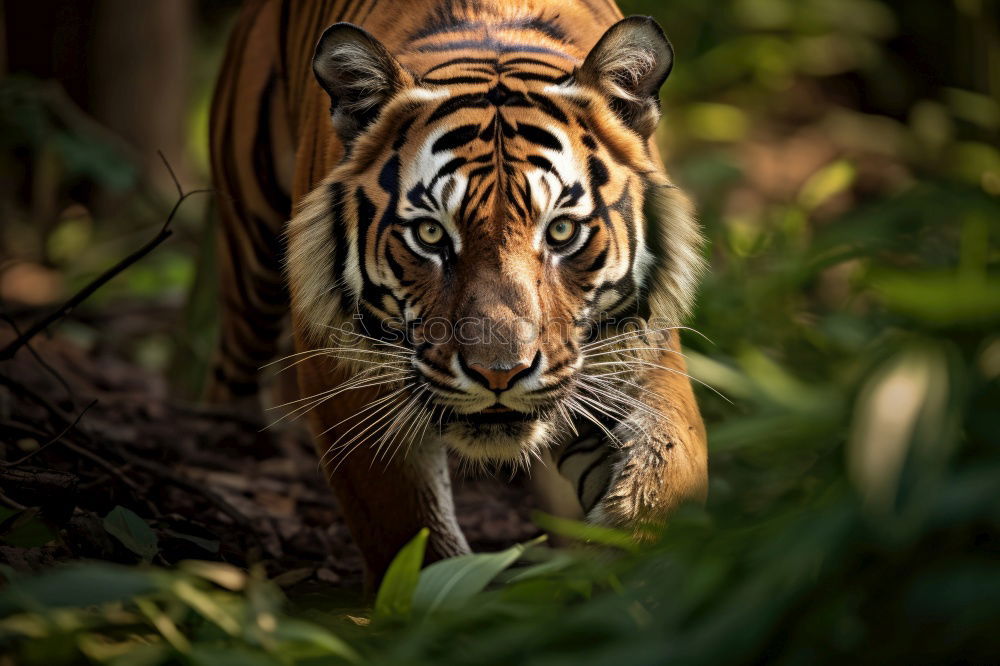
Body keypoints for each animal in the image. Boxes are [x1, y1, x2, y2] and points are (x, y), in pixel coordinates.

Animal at [209, 0, 712, 584]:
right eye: (430, 234)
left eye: (561, 231)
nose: (500, 374)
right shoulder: (344, 374)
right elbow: (411, 537)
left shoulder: (639, 353)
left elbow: (662, 485)